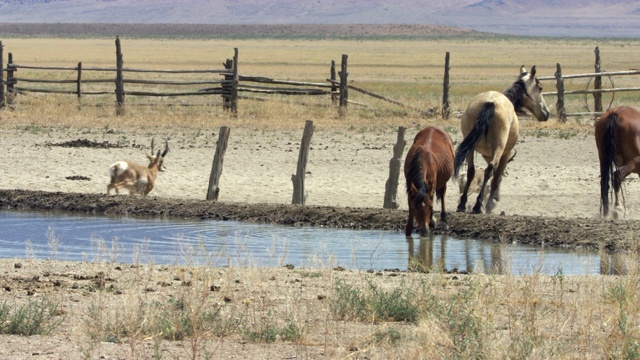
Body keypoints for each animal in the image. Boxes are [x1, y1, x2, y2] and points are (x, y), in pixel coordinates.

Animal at [450, 65, 552, 214]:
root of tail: (490, 102)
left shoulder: (487, 154)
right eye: (540, 87)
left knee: (471, 170)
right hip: (499, 147)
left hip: (471, 147)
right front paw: (490, 204)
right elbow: (497, 177)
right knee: (490, 170)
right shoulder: (505, 154)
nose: (546, 114)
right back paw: (478, 205)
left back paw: (462, 205)